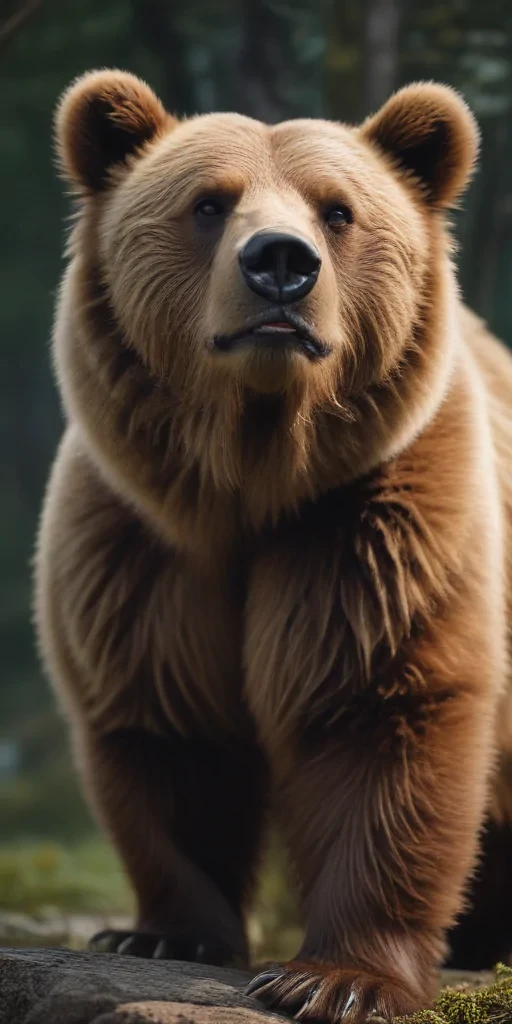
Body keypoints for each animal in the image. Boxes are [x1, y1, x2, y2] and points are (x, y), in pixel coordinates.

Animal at [34, 68, 512, 1023]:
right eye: (208, 203)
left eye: (339, 210)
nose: (281, 265)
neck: (250, 478)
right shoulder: (140, 543)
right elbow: (170, 725)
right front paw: (158, 934)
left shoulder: (374, 516)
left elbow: (379, 712)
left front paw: (337, 980)